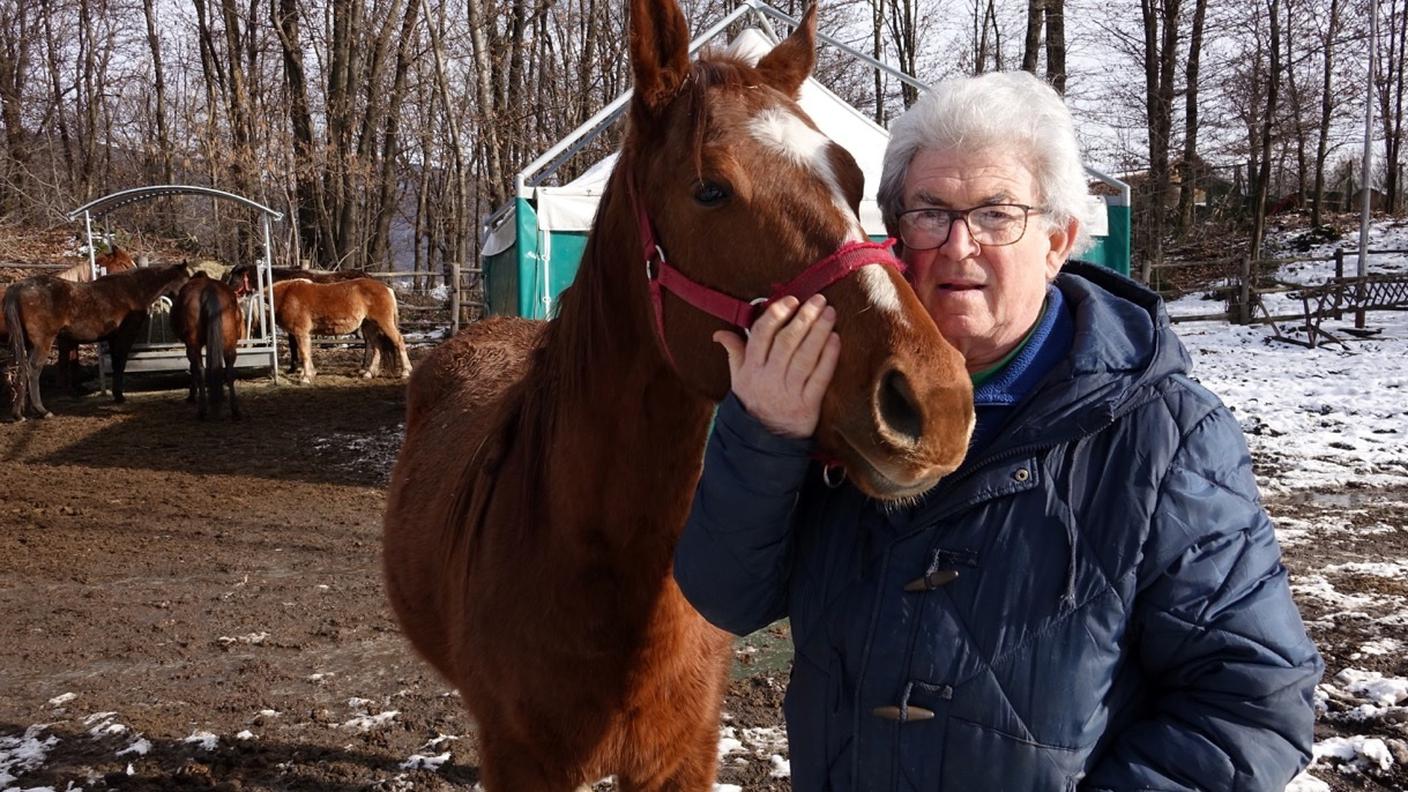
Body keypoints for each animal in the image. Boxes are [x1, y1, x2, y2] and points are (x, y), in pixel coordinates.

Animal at [4, 260, 191, 419]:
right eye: (187, 280)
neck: (133, 290)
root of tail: (18, 287)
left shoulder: (113, 338)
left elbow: (116, 363)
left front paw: (117, 395)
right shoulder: (124, 336)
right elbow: (120, 363)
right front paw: (119, 396)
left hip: (28, 345)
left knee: (22, 369)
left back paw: (20, 412)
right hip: (43, 343)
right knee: (33, 370)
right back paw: (42, 411)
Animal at [171, 270, 243, 419]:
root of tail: (209, 290)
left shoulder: (189, 346)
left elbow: (193, 368)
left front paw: (192, 396)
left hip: (193, 344)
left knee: (200, 369)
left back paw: (202, 410)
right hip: (229, 342)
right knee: (229, 370)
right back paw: (234, 409)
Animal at [270, 277, 411, 383]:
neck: (286, 295)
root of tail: (386, 288)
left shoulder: (301, 332)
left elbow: (304, 354)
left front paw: (306, 377)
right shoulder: (305, 334)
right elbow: (308, 353)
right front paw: (310, 373)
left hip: (384, 323)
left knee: (399, 341)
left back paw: (405, 372)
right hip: (370, 325)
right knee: (377, 347)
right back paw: (369, 373)